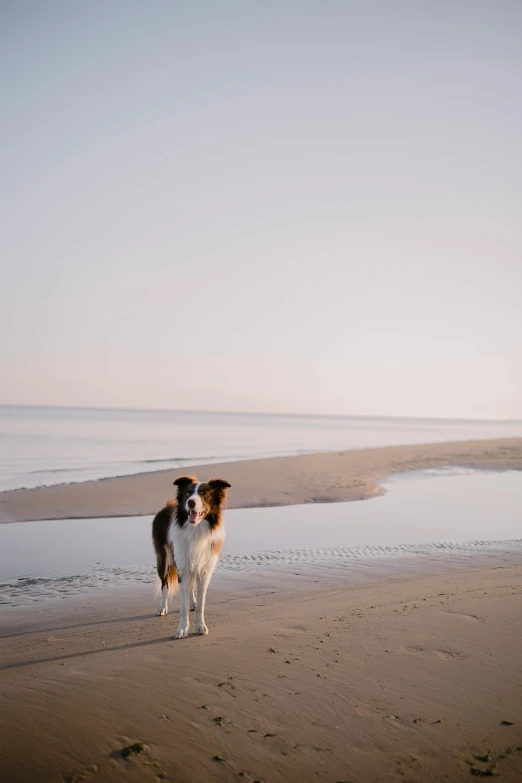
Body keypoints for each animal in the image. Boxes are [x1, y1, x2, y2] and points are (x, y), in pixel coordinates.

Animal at [151, 478, 231, 636]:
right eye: (188, 494)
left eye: (204, 494)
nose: (191, 502)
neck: (196, 530)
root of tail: (165, 507)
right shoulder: (182, 567)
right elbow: (182, 606)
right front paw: (182, 629)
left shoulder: (205, 570)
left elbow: (201, 603)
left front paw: (200, 625)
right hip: (164, 558)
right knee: (165, 584)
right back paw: (162, 607)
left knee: (191, 585)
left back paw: (192, 602)